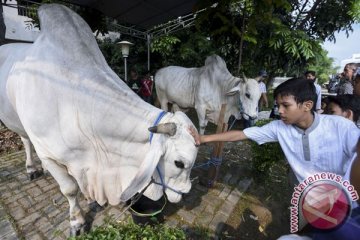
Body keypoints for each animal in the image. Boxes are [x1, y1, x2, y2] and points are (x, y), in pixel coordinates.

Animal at [0, 4, 198, 236]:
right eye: (179, 163)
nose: (185, 193)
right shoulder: (48, 153)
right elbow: (69, 189)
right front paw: (76, 221)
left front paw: (90, 199)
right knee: (25, 141)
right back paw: (32, 168)